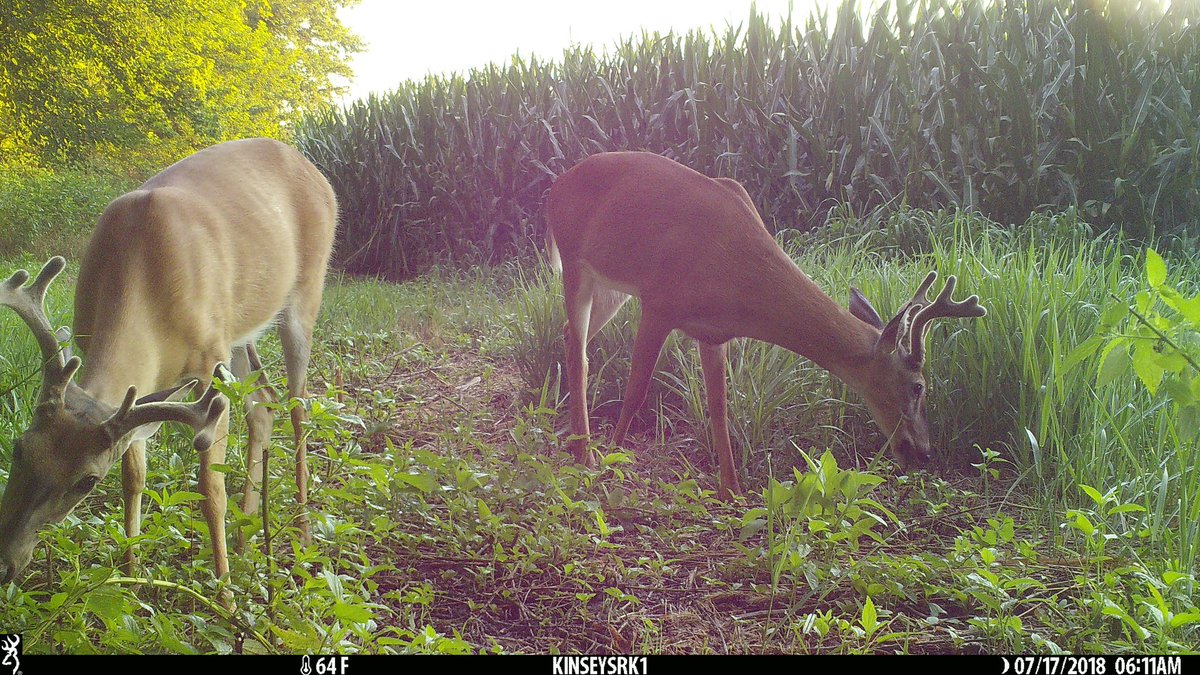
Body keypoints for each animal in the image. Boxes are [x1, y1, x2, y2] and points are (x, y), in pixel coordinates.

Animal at [0, 137, 337, 586]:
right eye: (19, 447)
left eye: (87, 481)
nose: (3, 563)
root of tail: (317, 173)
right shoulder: (138, 382)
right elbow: (134, 477)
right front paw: (130, 572)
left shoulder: (209, 369)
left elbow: (212, 491)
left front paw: (224, 592)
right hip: (237, 334)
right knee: (263, 404)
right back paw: (245, 542)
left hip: (304, 294)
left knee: (299, 406)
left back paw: (302, 536)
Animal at [544, 151, 986, 498]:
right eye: (918, 386)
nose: (924, 451)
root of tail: (557, 184)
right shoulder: (659, 303)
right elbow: (636, 391)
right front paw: (610, 466)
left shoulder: (713, 332)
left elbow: (720, 407)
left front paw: (732, 491)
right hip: (575, 263)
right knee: (578, 349)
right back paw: (586, 455)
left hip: (611, 288)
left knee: (571, 336)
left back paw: (579, 446)